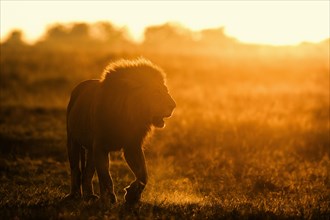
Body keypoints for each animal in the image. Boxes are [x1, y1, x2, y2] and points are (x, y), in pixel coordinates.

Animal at [65, 58, 178, 205]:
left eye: (166, 90)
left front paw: (132, 195)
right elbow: (105, 176)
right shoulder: (100, 146)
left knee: (87, 173)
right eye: (156, 93)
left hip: (90, 149)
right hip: (73, 140)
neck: (129, 115)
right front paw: (109, 198)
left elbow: (143, 174)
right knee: (75, 170)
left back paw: (90, 196)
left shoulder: (132, 146)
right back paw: (75, 195)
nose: (173, 105)